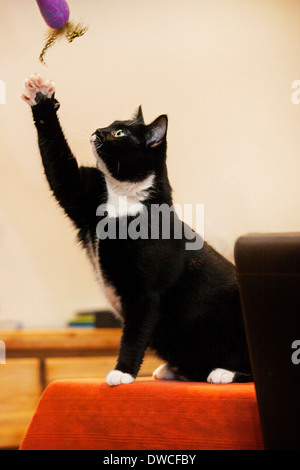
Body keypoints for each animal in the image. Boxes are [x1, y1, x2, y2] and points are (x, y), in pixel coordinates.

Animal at [22, 74, 252, 386]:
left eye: (120, 133)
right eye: (110, 123)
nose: (98, 130)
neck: (123, 198)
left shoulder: (145, 293)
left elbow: (135, 333)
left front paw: (123, 372)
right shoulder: (83, 193)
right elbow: (59, 166)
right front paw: (41, 96)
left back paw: (223, 372)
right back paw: (174, 370)